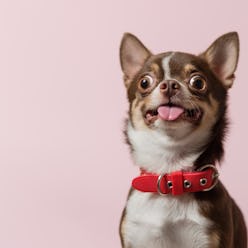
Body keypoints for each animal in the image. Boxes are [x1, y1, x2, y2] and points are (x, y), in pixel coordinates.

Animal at [119, 33, 247, 248]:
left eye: (198, 82)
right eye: (144, 82)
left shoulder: (209, 236)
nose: (170, 84)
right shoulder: (132, 235)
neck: (171, 172)